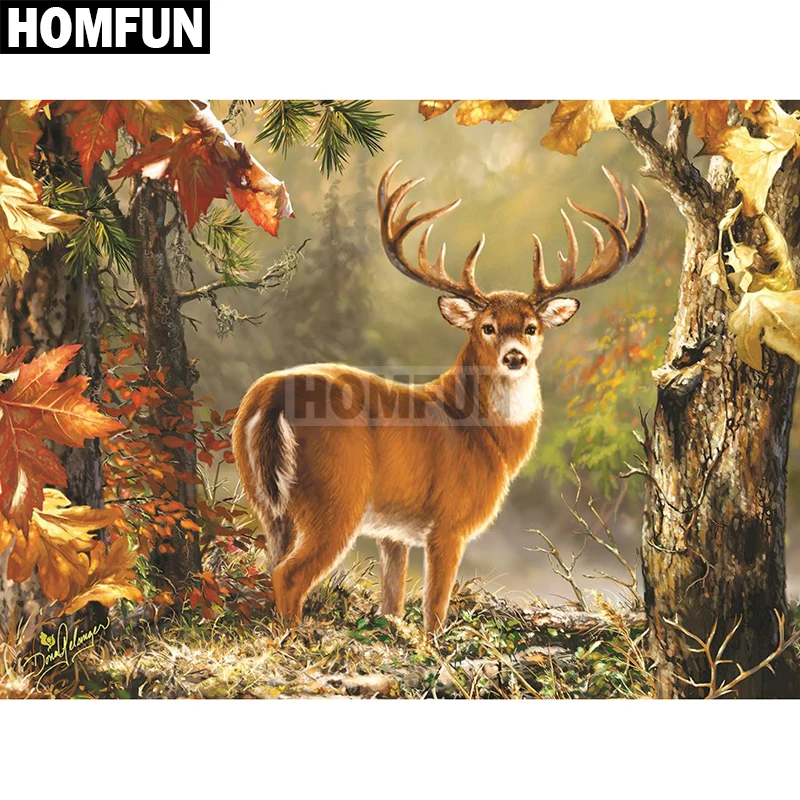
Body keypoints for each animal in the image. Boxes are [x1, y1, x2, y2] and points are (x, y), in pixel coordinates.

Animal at [232, 161, 647, 633]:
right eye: (487, 327)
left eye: (531, 326)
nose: (515, 357)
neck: (486, 437)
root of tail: (274, 396)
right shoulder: (449, 522)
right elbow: (434, 610)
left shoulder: (392, 532)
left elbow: (392, 603)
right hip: (336, 496)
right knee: (289, 575)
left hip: (266, 500)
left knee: (272, 563)